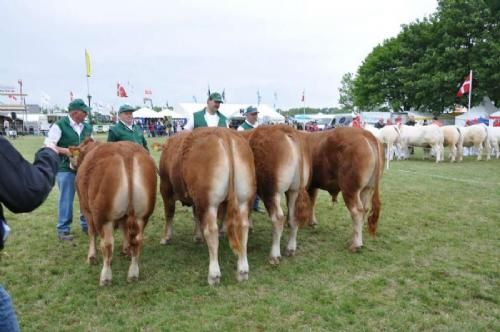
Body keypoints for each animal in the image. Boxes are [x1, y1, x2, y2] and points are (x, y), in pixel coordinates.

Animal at [69, 139, 156, 286]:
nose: (71, 164)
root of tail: (127, 153)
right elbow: (124, 230)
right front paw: (126, 250)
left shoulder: (86, 209)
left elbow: (91, 232)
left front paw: (91, 257)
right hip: (142, 216)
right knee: (137, 241)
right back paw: (133, 273)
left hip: (103, 217)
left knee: (107, 245)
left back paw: (106, 277)